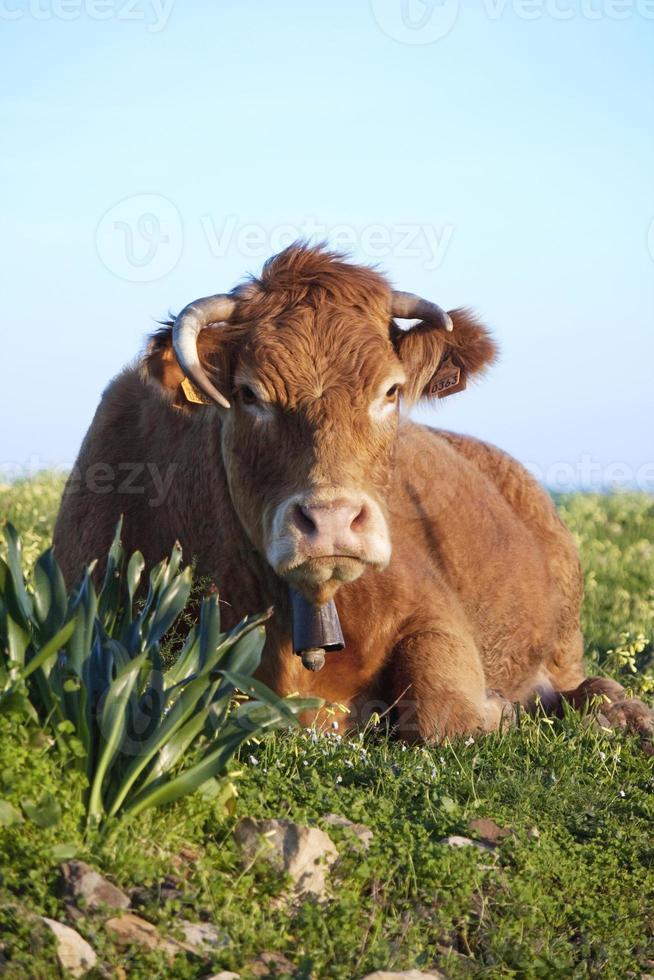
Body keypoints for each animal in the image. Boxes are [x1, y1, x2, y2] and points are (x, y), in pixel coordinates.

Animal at [53, 241, 652, 740]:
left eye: (390, 391)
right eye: (249, 394)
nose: (333, 521)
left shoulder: (435, 616)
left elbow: (445, 712)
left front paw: (501, 708)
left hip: (565, 627)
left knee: (582, 681)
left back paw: (620, 711)